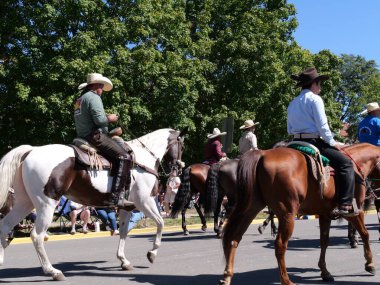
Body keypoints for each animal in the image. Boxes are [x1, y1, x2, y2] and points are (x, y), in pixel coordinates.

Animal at [0, 128, 186, 280]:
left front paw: (123, 260)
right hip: (46, 205)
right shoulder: (145, 201)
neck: (142, 159)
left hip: (24, 203)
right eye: (182, 146)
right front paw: (152, 253)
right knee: (37, 236)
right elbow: (160, 223)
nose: (180, 166)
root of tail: (31, 150)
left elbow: (123, 232)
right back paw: (53, 271)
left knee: (5, 226)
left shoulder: (127, 207)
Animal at [221, 143, 378, 284]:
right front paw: (370, 264)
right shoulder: (354, 211)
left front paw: (325, 272)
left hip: (251, 208)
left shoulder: (324, 214)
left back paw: (227, 276)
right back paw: (286, 281)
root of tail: (263, 154)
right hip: (287, 215)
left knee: (234, 238)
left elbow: (324, 241)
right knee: (280, 246)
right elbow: (365, 234)